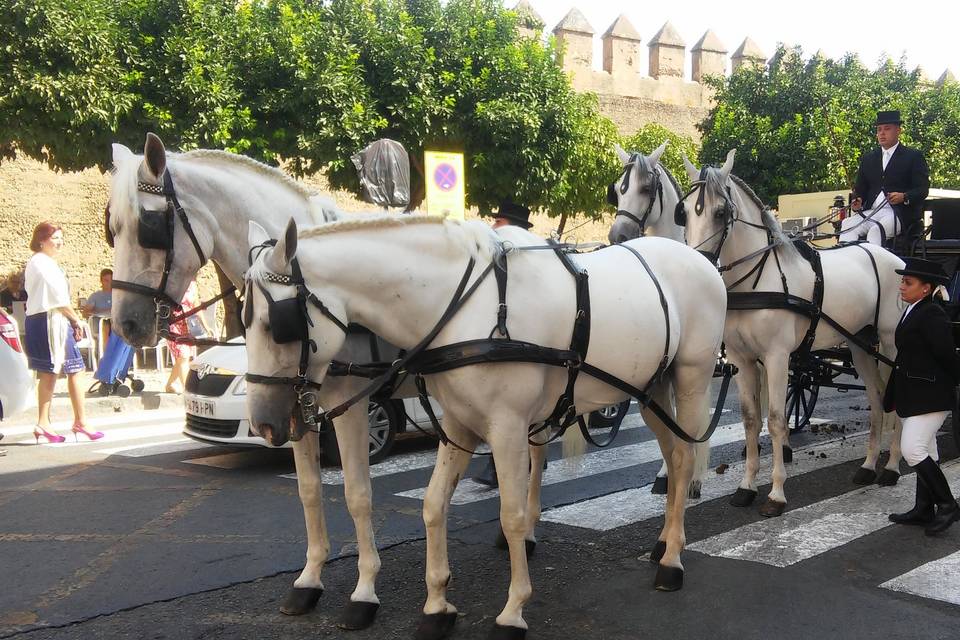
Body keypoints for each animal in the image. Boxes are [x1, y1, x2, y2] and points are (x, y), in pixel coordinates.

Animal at [109, 132, 386, 628]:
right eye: (112, 228)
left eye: (149, 226)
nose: (125, 323)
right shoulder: (295, 406)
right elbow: (309, 491)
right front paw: (309, 579)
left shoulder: (353, 408)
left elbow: (357, 493)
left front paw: (365, 590)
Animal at [244, 212, 724, 636]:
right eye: (245, 321)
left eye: (275, 326)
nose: (264, 424)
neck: (463, 310)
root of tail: (699, 259)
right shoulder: (458, 425)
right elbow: (433, 504)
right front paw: (437, 605)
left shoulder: (507, 427)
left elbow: (511, 516)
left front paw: (512, 611)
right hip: (651, 389)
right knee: (673, 457)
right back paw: (663, 541)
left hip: (692, 380)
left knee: (685, 456)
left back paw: (672, 560)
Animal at [680, 152, 904, 516]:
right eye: (683, 212)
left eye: (720, 212)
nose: (698, 264)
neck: (757, 279)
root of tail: (889, 255)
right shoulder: (742, 359)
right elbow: (750, 420)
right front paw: (746, 487)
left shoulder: (777, 357)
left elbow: (775, 420)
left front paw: (775, 493)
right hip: (861, 345)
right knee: (875, 398)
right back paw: (869, 466)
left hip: (891, 343)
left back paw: (893, 468)